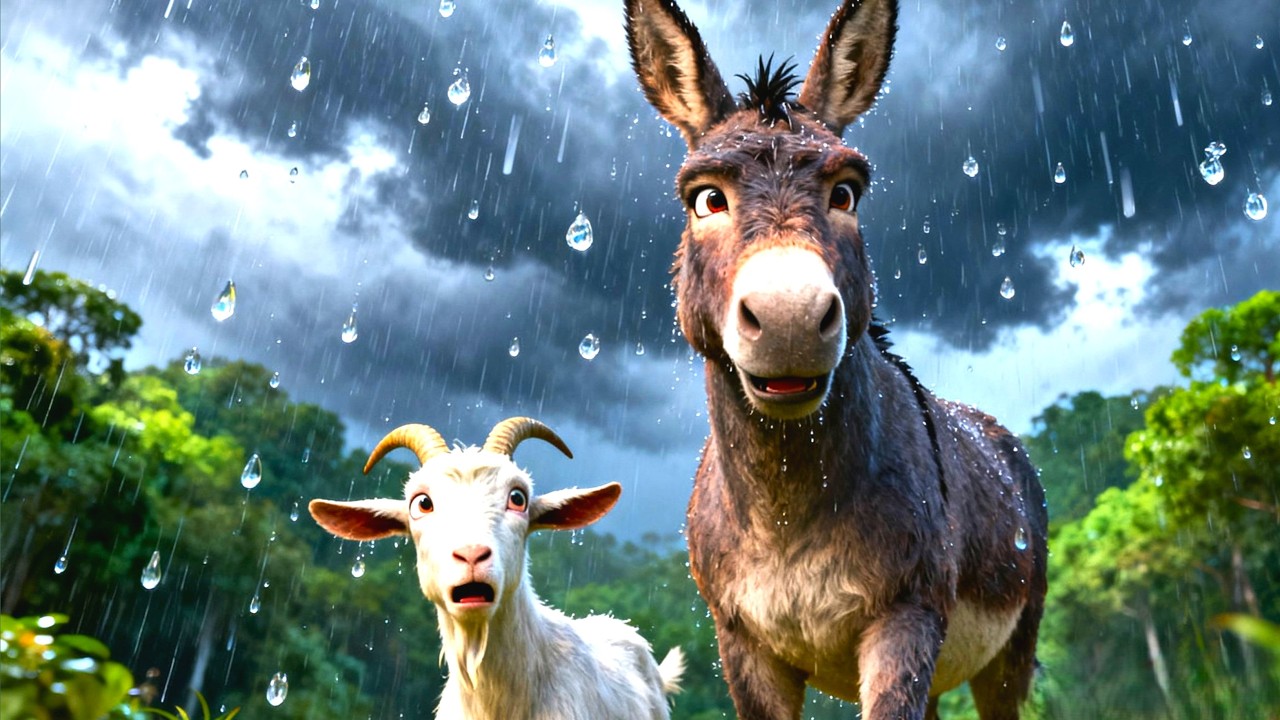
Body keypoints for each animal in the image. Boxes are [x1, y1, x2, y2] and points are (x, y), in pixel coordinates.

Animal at [625, 1, 1048, 718]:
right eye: (706, 198)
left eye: (846, 193)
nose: (789, 319)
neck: (786, 512)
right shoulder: (742, 644)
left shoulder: (906, 616)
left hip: (1009, 649)